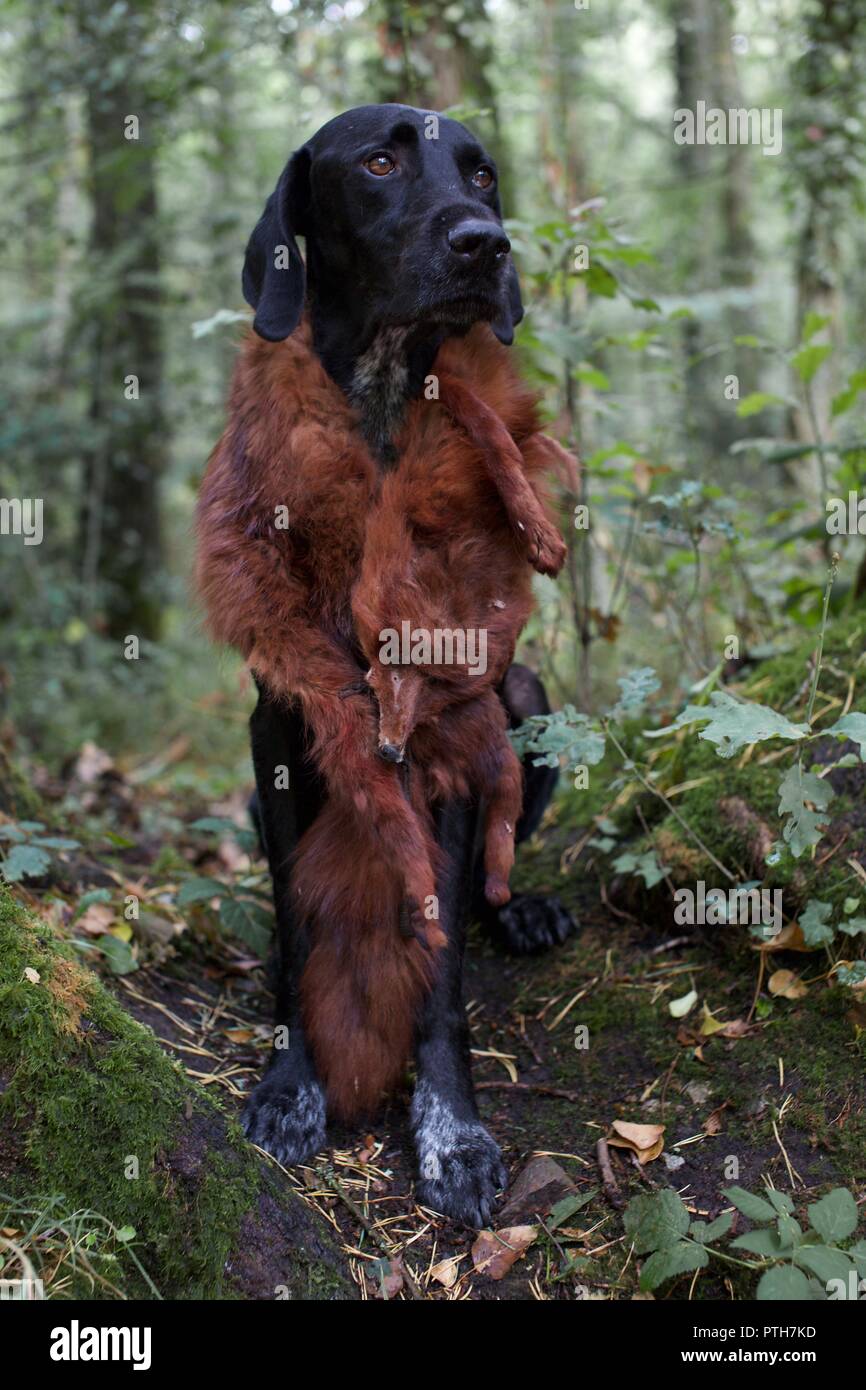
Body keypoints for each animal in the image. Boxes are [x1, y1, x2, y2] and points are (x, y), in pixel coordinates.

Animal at [237, 102, 575, 1223]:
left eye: (482, 172)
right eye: (379, 162)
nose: (485, 242)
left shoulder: (458, 733)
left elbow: (442, 972)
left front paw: (451, 1130)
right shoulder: (283, 726)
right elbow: (302, 932)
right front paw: (294, 1084)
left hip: (529, 702)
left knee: (489, 887)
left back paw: (527, 909)